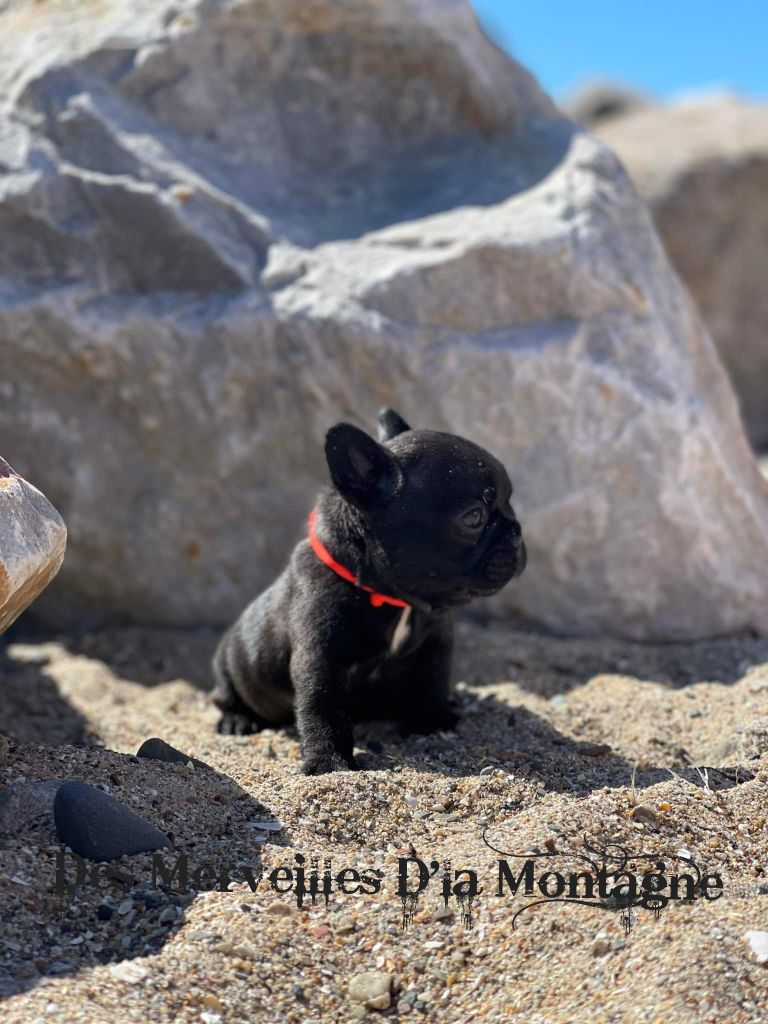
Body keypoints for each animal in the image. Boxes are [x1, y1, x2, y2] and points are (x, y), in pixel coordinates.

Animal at [211, 409, 526, 775]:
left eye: (510, 501)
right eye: (474, 517)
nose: (517, 532)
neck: (393, 600)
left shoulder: (436, 643)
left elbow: (432, 681)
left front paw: (433, 721)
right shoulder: (321, 659)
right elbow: (323, 709)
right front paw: (330, 763)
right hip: (229, 666)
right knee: (227, 696)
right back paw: (235, 720)